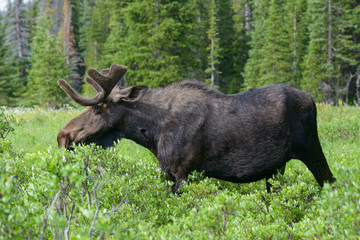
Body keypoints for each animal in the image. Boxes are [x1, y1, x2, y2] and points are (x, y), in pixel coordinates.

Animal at [56, 64, 334, 193]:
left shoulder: (185, 172)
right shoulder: (166, 172)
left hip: (311, 149)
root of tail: (312, 100)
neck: (152, 132)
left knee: (331, 182)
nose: (63, 136)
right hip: (277, 168)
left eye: (97, 108)